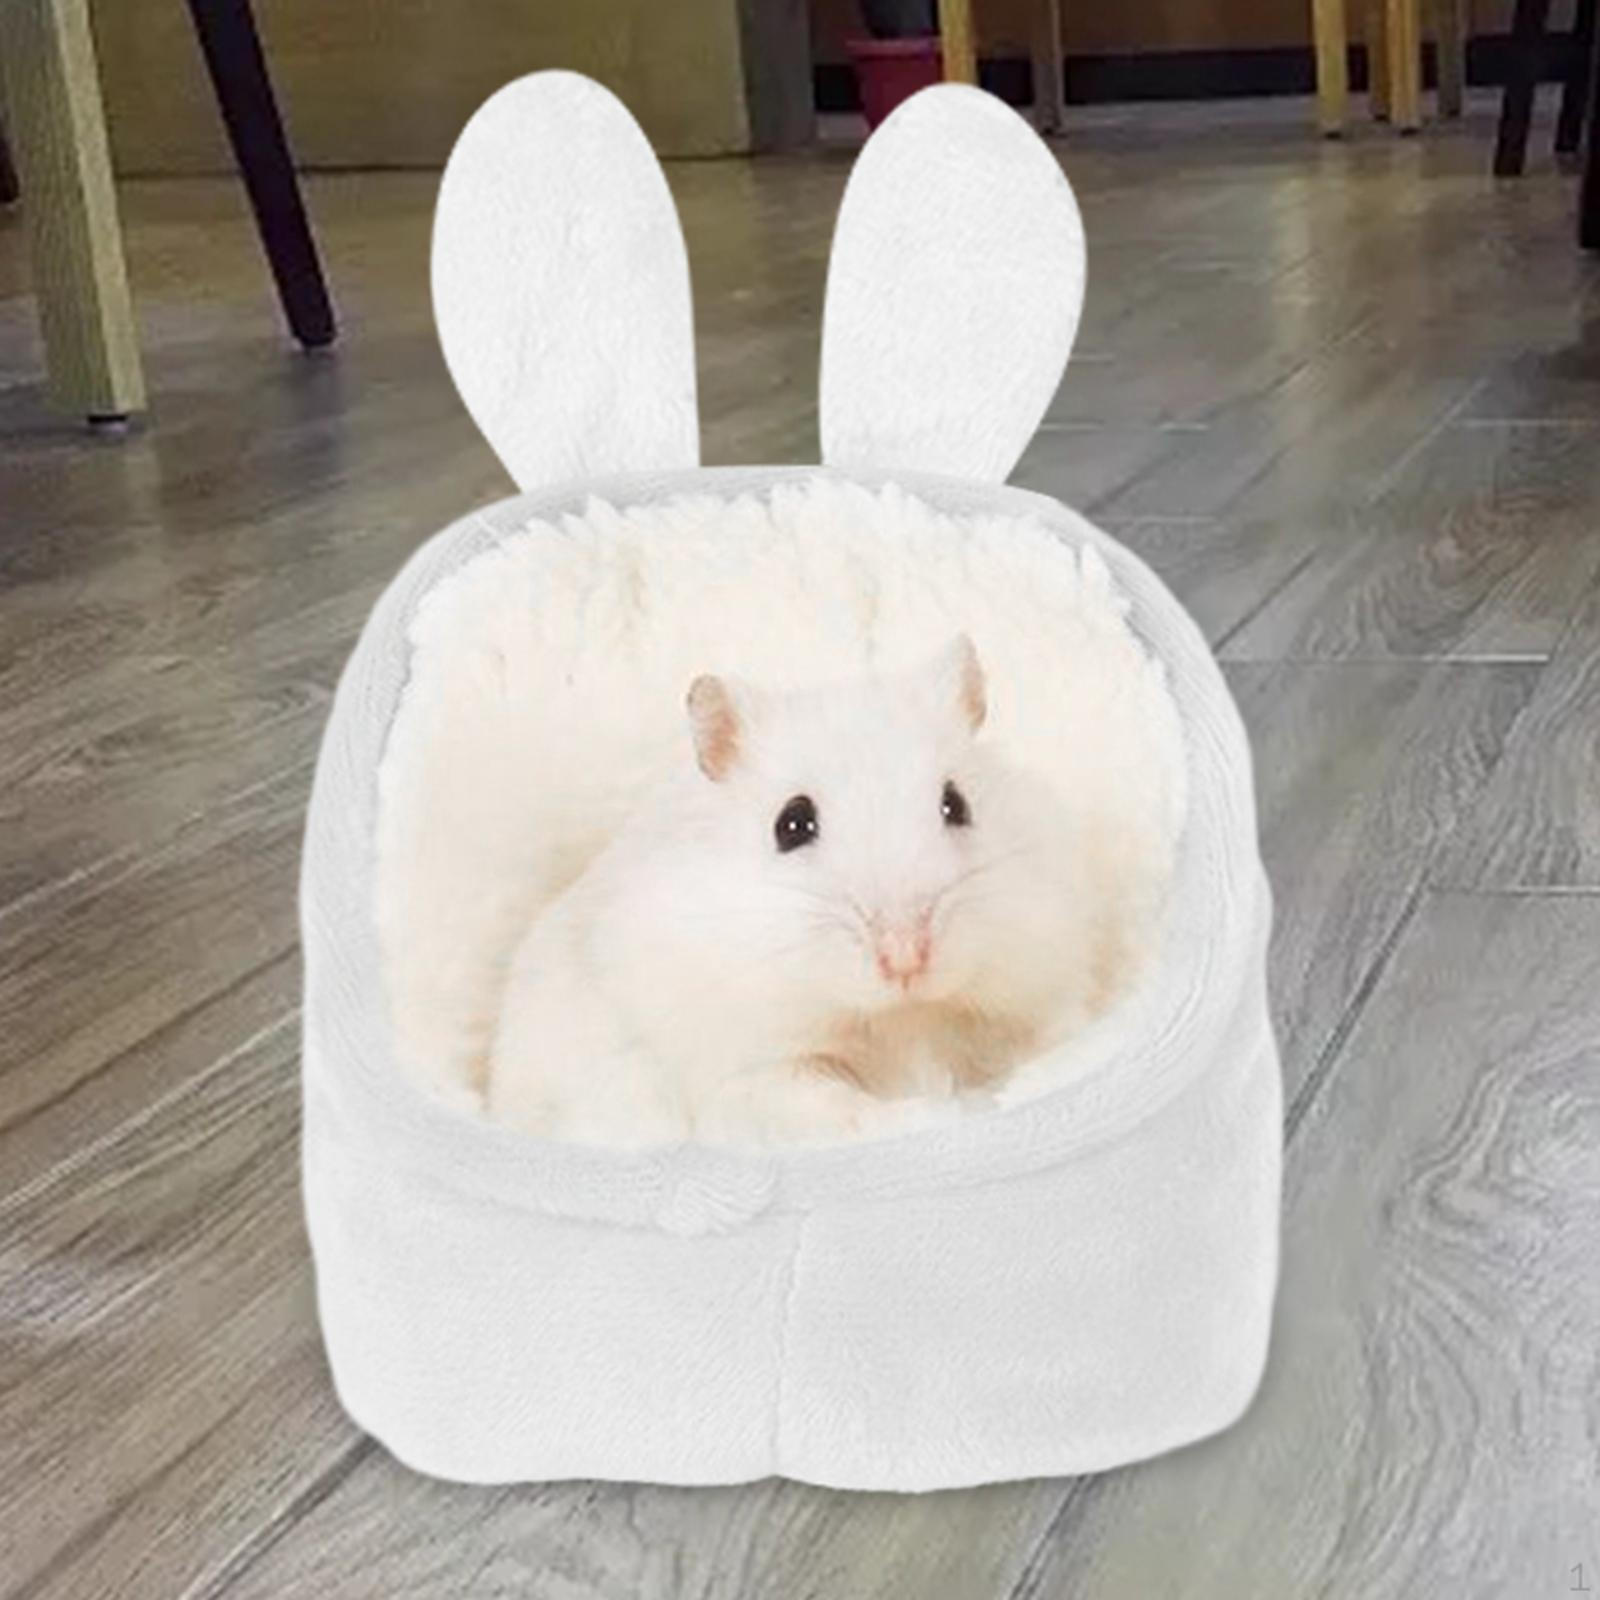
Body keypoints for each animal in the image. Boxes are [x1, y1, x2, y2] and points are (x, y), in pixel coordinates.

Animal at [487, 635, 1133, 1148]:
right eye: (791, 824)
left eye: (957, 804)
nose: (906, 959)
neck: (902, 1017)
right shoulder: (756, 1077)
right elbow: (836, 1109)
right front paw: (933, 1113)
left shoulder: (1036, 994)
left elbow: (1052, 1042)